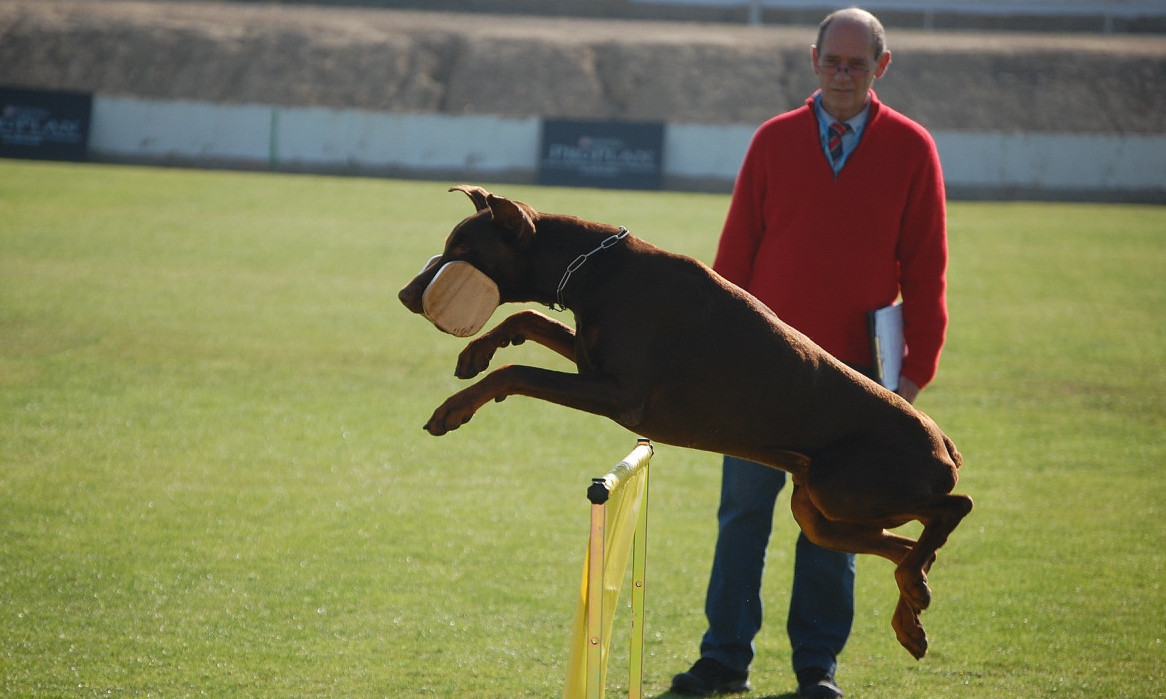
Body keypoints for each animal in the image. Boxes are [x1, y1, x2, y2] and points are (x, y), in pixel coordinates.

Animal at [401, 185, 974, 662]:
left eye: (462, 250)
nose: (407, 296)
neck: (594, 271)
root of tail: (946, 444)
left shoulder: (620, 395)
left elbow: (519, 370)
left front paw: (455, 407)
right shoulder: (591, 364)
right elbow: (528, 319)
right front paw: (476, 352)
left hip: (848, 489)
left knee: (953, 508)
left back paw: (916, 589)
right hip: (821, 512)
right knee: (905, 549)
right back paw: (912, 608)